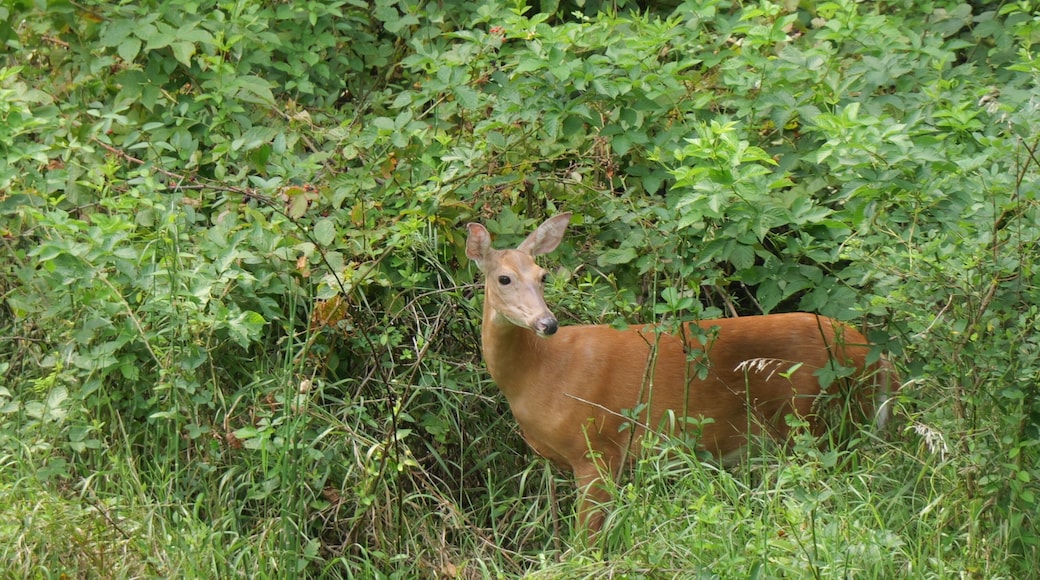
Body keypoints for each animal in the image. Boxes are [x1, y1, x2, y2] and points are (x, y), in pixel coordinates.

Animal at [465, 212, 897, 533]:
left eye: (543, 276)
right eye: (504, 278)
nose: (547, 323)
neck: (542, 371)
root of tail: (873, 353)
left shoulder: (597, 449)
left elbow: (587, 543)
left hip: (819, 419)